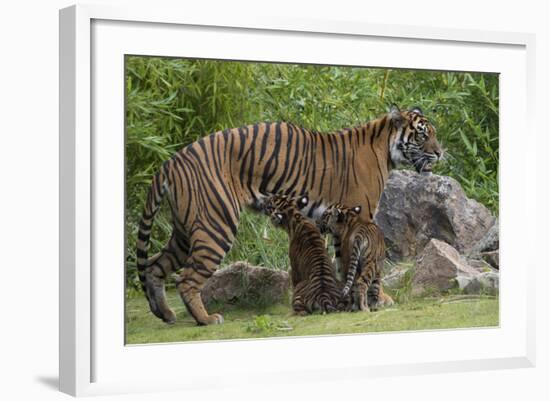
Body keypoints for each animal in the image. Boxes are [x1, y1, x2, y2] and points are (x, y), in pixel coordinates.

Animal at [138, 104, 444, 324]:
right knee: (186, 279)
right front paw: (376, 299)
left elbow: (344, 263)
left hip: (185, 230)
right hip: (216, 224)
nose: (441, 153)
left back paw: (165, 314)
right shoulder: (361, 216)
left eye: (434, 133)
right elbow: (363, 264)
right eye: (422, 134)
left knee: (154, 266)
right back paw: (207, 318)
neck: (384, 148)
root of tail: (171, 161)